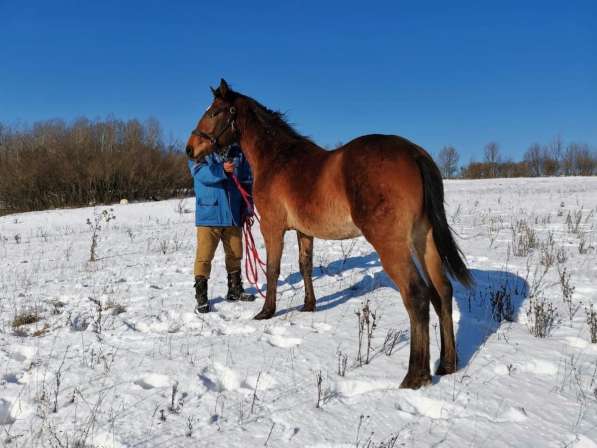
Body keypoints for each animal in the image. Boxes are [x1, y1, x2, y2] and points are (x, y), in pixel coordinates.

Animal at [184, 79, 472, 386]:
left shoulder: (272, 227)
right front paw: (309, 305)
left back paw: (415, 376)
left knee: (417, 296)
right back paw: (447, 364)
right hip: (424, 240)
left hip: (392, 247)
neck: (276, 159)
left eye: (214, 112)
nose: (189, 149)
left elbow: (272, 269)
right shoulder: (304, 232)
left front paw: (266, 311)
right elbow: (305, 266)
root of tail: (414, 153)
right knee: (442, 291)